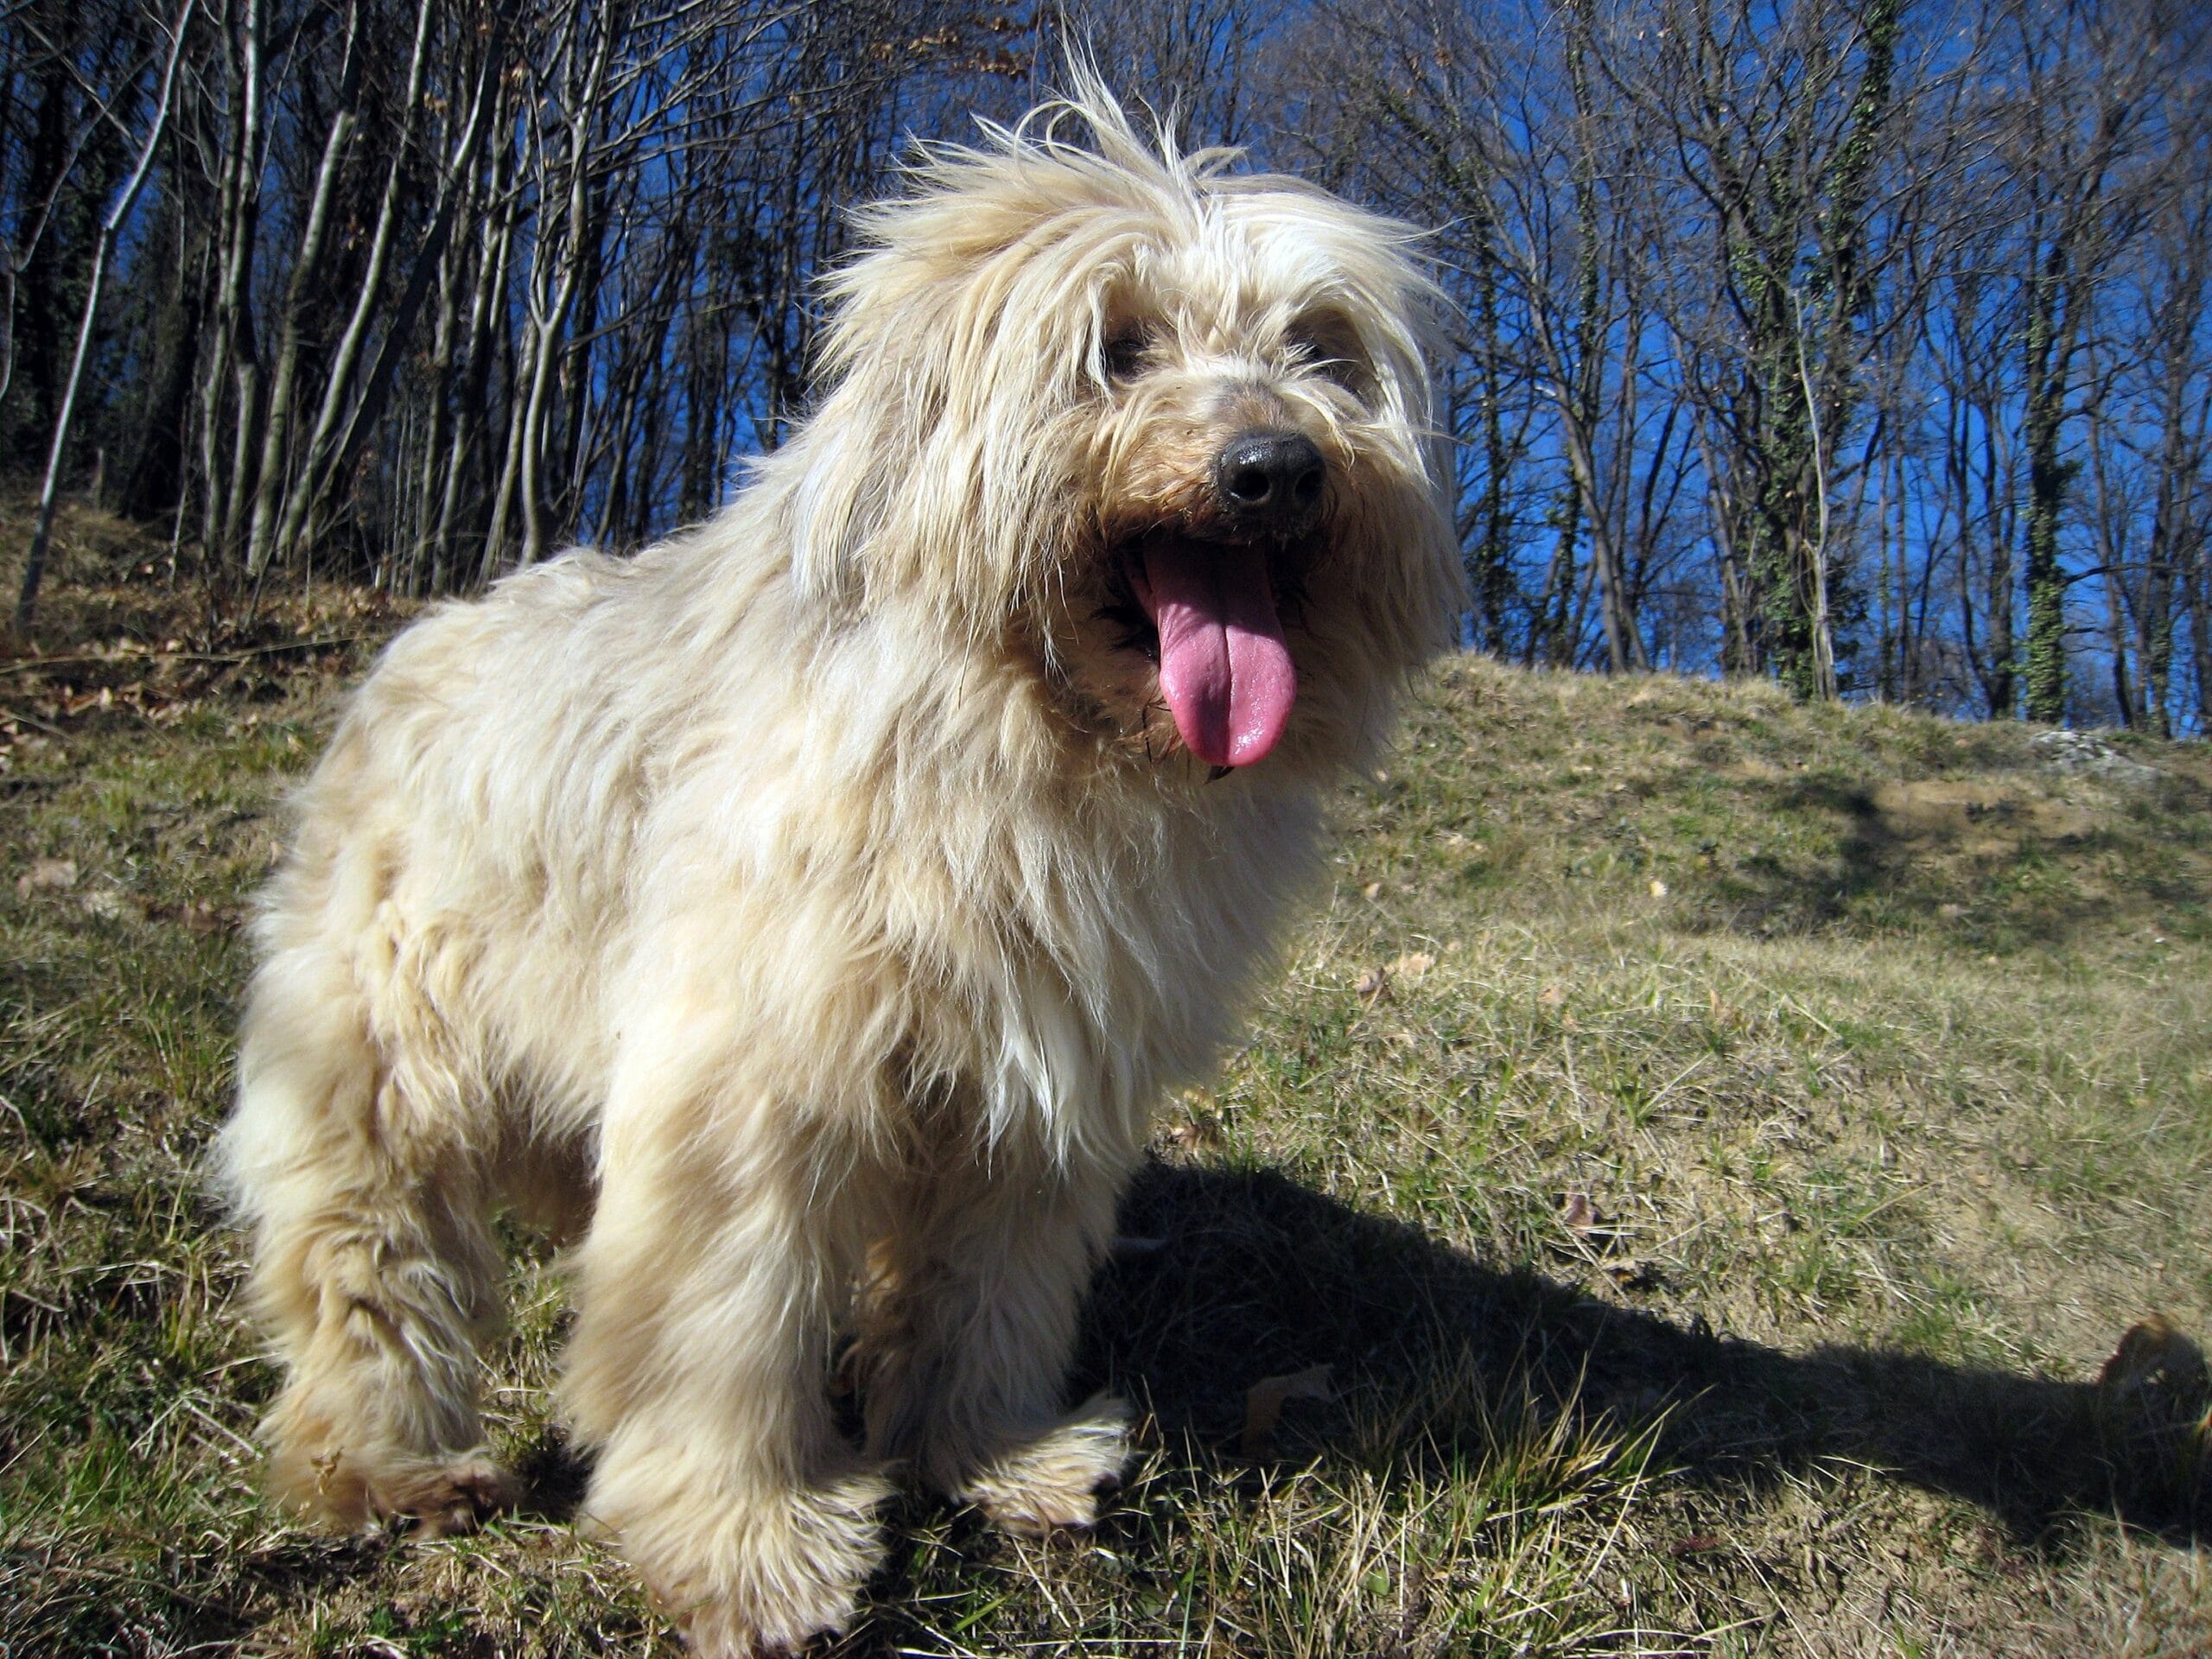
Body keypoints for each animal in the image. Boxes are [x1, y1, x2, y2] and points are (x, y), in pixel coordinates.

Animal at [219, 84, 1468, 1654]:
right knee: (365, 1264)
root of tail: (415, 642)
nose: (1278, 467)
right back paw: (386, 1463)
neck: (1022, 738)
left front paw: (986, 1452)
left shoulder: (1033, 1097)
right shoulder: (746, 1091)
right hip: (376, 1054)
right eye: (1115, 346)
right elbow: (717, 1323)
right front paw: (743, 1543)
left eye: (1321, 350)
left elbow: (983, 1293)